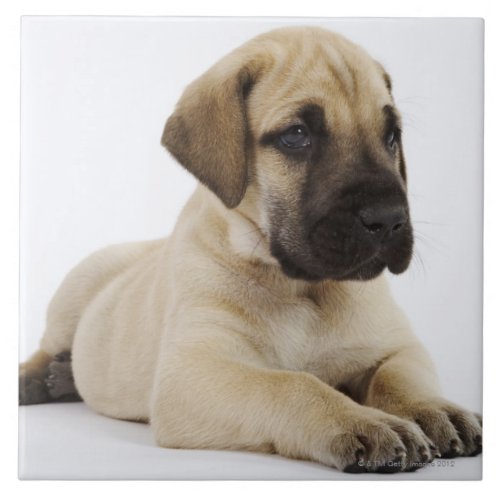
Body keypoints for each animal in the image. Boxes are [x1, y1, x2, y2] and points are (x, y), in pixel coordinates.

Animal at [18, 26, 480, 472]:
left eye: (391, 137)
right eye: (297, 136)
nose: (387, 220)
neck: (302, 288)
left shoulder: (395, 344)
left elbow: (400, 376)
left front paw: (433, 408)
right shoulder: (194, 371)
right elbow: (291, 384)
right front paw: (361, 420)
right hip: (80, 283)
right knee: (48, 343)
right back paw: (37, 378)